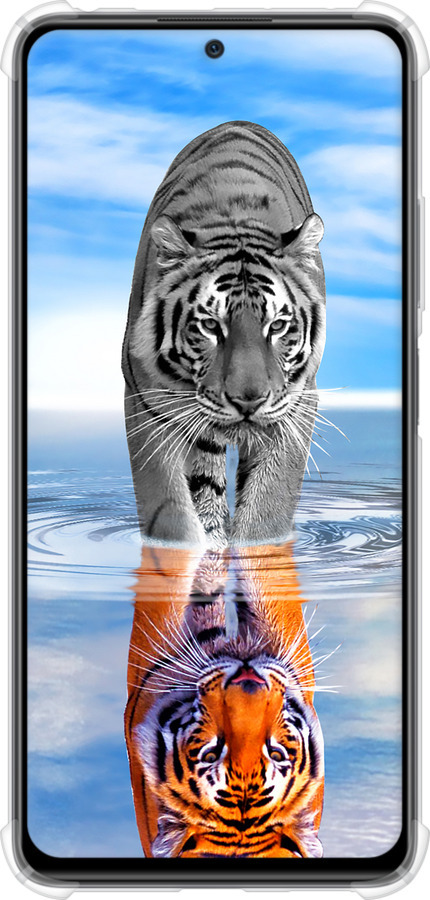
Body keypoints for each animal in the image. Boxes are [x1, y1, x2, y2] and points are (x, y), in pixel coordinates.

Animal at [122, 121, 326, 549]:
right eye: (210, 326)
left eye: (277, 326)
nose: (248, 401)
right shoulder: (146, 401)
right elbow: (170, 512)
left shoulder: (297, 404)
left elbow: (268, 509)